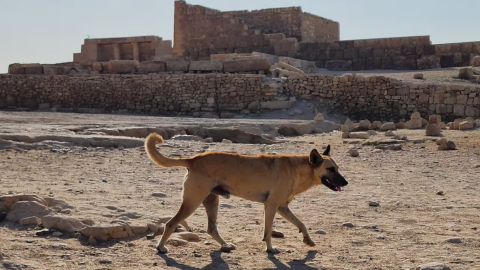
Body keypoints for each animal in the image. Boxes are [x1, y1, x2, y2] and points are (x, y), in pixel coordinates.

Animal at [144, 133, 346, 253]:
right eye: (330, 169)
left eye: (337, 168)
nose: (346, 182)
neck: (299, 169)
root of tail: (193, 159)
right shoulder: (271, 206)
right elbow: (268, 231)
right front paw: (270, 249)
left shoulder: (282, 207)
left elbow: (301, 223)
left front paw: (308, 240)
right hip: (192, 202)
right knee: (171, 223)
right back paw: (160, 247)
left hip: (212, 201)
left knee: (211, 228)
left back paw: (225, 245)